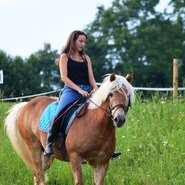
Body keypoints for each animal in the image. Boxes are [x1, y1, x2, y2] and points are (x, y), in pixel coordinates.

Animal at [3, 73, 134, 185]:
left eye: (128, 95)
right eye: (111, 94)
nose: (119, 119)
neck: (98, 127)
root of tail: (26, 104)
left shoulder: (101, 163)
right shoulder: (75, 159)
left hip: (45, 155)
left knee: (38, 176)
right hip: (33, 148)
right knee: (39, 174)